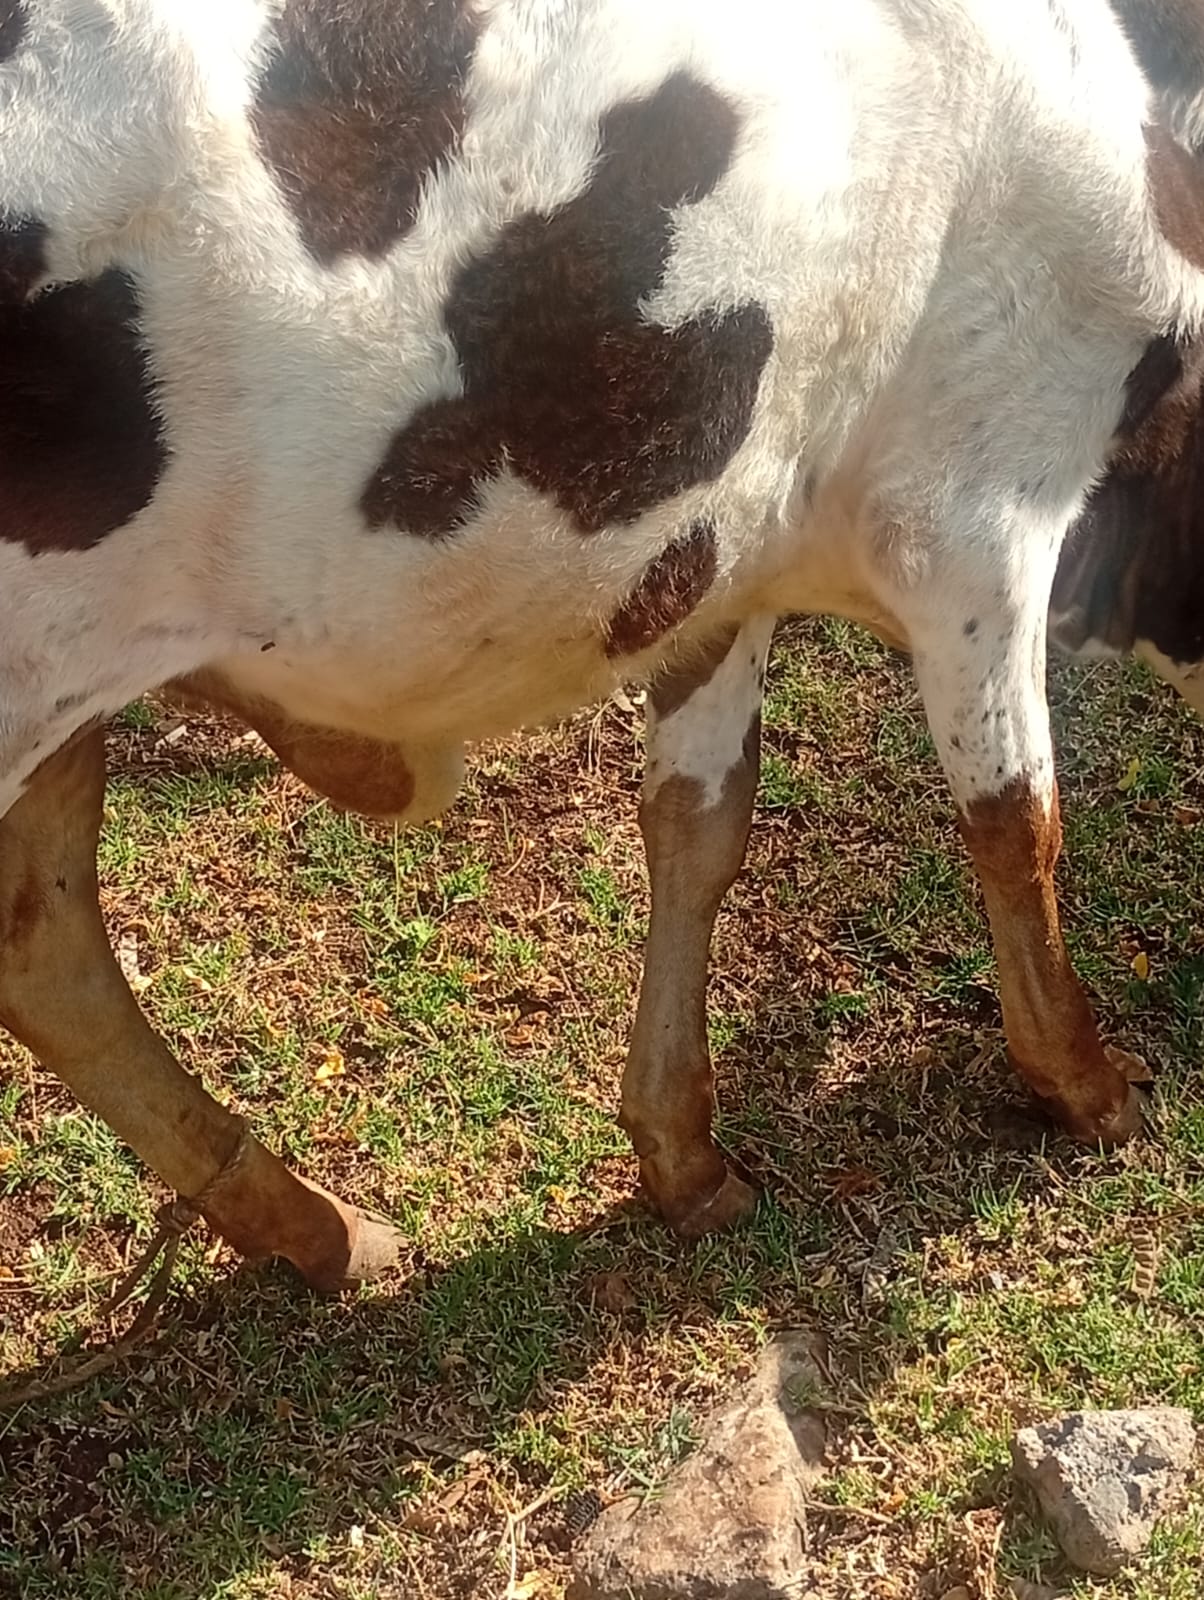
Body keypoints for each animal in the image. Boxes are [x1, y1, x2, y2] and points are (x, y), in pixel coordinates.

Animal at [0, 0, 1199, 1290]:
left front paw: (681, 1155)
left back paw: (316, 1229)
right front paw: (1086, 1084)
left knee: (46, 943)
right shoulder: (969, 521)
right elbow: (1017, 824)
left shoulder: (723, 561)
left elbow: (699, 824)